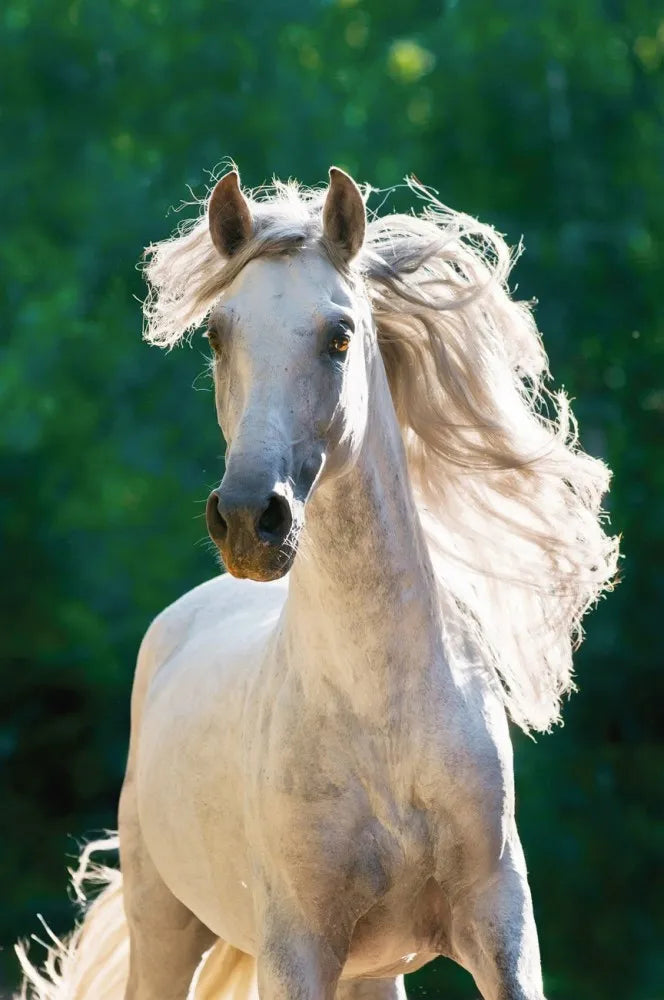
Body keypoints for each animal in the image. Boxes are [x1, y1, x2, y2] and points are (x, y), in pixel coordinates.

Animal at [16, 166, 617, 1000]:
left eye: (340, 335)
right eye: (216, 334)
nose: (248, 519)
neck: (383, 717)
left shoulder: (502, 926)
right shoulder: (296, 948)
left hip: (369, 973)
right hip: (165, 925)